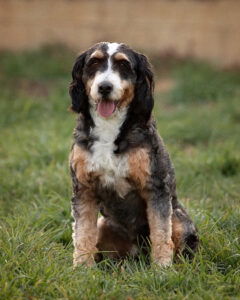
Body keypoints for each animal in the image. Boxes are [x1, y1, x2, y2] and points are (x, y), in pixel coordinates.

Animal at [68, 42, 198, 268]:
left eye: (123, 65)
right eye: (94, 62)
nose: (105, 87)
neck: (109, 127)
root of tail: (138, 251)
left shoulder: (156, 187)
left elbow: (161, 233)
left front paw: (162, 268)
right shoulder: (83, 188)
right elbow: (83, 233)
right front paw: (82, 268)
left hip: (180, 221)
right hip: (104, 224)